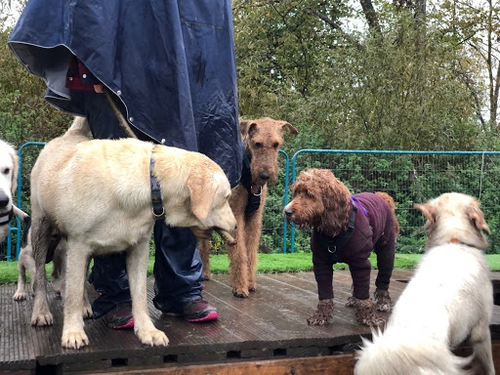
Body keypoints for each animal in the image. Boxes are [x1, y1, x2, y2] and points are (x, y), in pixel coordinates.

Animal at [200, 119, 300, 298]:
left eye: (276, 144)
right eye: (257, 143)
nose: (265, 175)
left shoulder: (255, 216)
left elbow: (251, 251)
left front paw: (250, 282)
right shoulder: (236, 214)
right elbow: (240, 252)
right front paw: (240, 287)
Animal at [286, 169, 398, 328]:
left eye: (310, 194)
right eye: (296, 192)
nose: (287, 212)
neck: (334, 230)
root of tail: (380, 196)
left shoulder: (361, 263)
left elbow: (363, 293)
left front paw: (368, 317)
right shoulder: (321, 264)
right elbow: (325, 294)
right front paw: (321, 315)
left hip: (386, 252)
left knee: (383, 278)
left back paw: (383, 302)